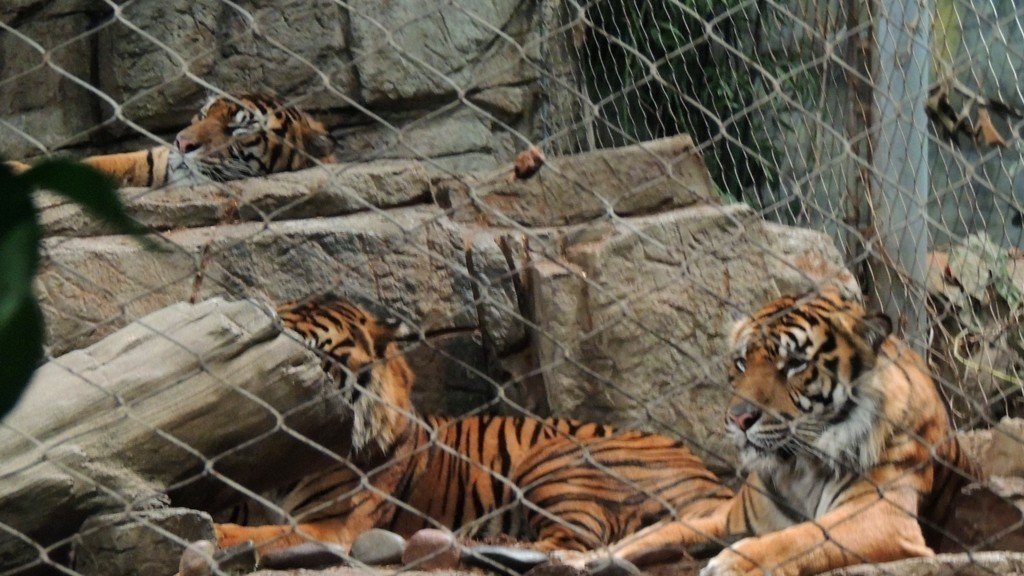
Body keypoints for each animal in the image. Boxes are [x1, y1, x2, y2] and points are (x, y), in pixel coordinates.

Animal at [213, 295, 734, 557]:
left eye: (312, 357)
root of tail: (710, 479)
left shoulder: (335, 526)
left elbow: (258, 533)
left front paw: (218, 535)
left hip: (554, 462)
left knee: (575, 544)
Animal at [567, 287, 978, 576]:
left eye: (795, 364)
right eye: (741, 362)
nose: (738, 418)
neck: (800, 467)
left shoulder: (882, 517)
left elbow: (803, 536)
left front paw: (732, 563)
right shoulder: (726, 519)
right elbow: (669, 532)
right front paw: (588, 559)